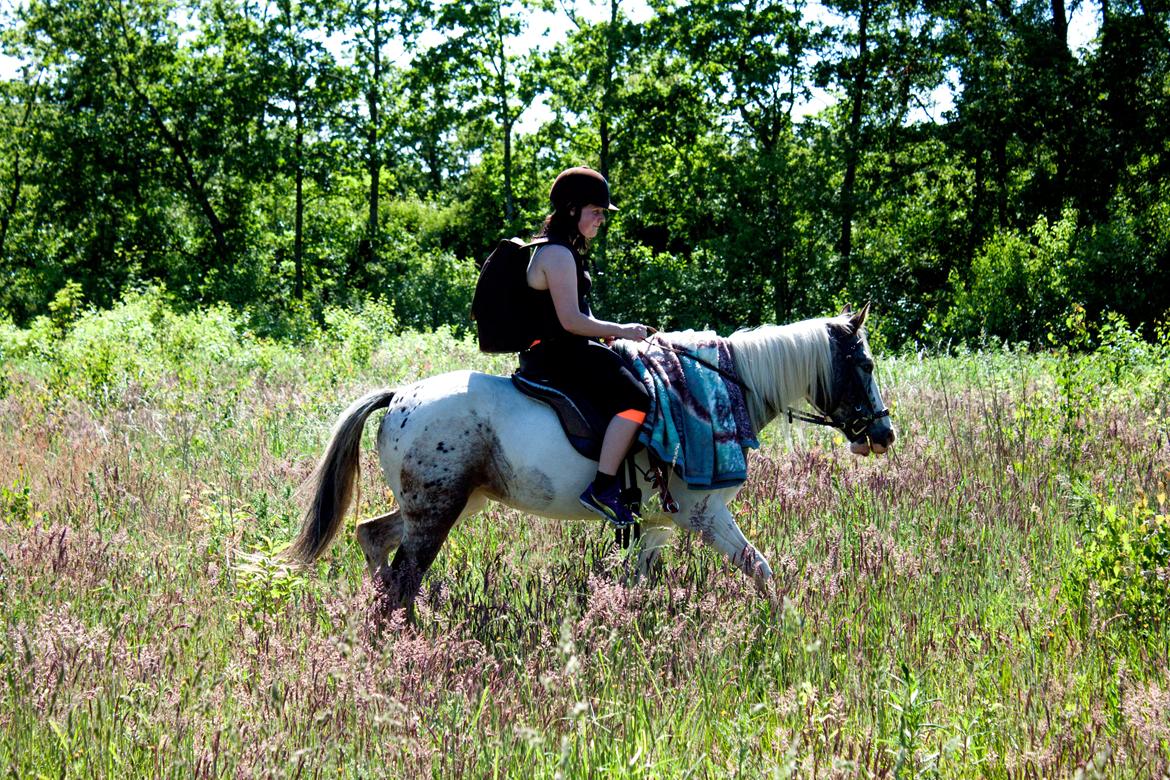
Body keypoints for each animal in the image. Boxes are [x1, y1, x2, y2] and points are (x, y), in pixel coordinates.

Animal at [287, 306, 889, 617]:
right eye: (864, 364)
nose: (883, 433)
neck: (715, 390)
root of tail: (399, 398)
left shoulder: (659, 523)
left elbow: (638, 579)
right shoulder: (705, 516)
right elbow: (760, 568)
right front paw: (788, 624)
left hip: (448, 504)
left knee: (372, 537)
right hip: (437, 510)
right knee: (406, 574)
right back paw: (406, 630)